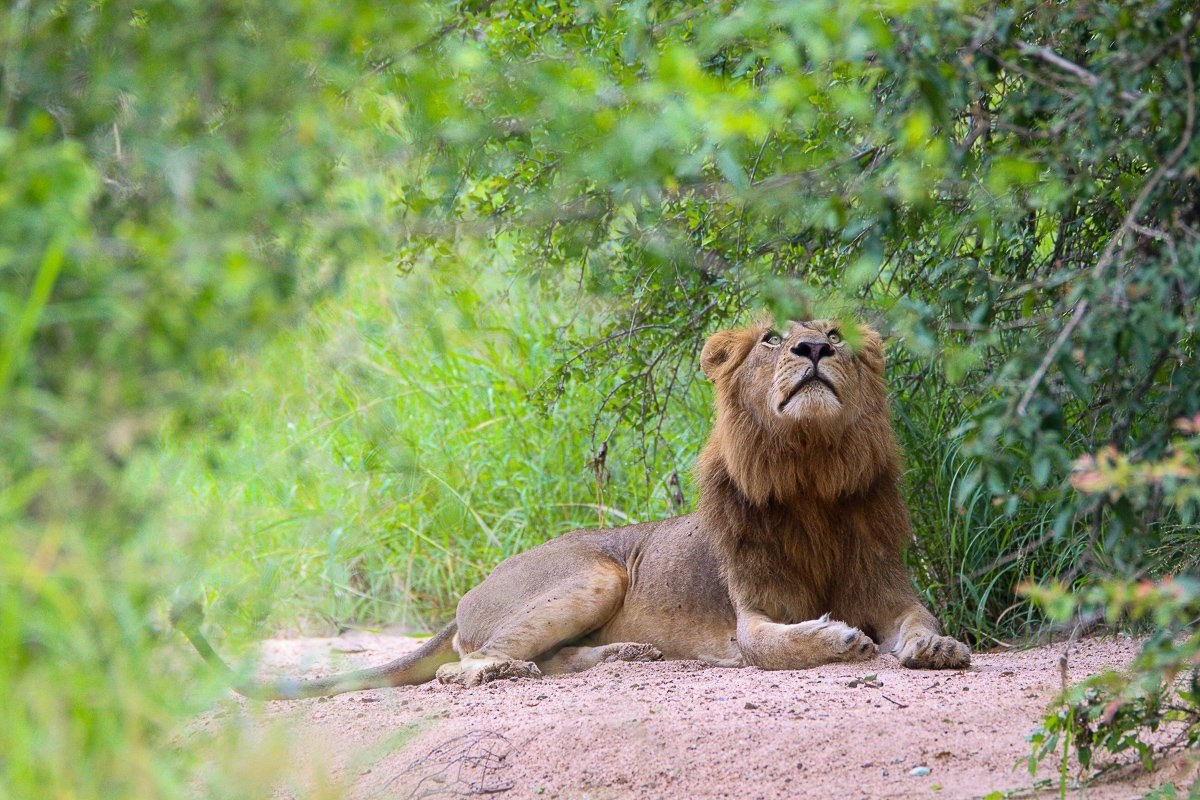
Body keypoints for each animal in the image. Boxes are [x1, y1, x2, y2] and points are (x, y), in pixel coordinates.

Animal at [176, 317, 970, 699]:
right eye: (774, 337)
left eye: (836, 335)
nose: (813, 349)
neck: (809, 476)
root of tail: (466, 598)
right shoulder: (750, 617)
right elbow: (778, 644)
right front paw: (840, 639)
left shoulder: (888, 587)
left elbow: (920, 620)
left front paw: (935, 649)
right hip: (595, 573)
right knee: (462, 664)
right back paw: (503, 673)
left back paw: (624, 653)